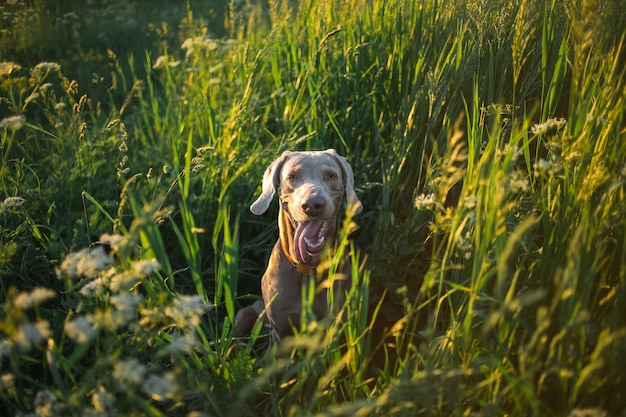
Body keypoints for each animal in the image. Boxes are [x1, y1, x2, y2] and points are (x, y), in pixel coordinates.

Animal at [234, 149, 360, 342]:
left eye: (331, 175)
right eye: (292, 176)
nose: (312, 205)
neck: (308, 269)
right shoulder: (281, 331)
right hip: (243, 316)